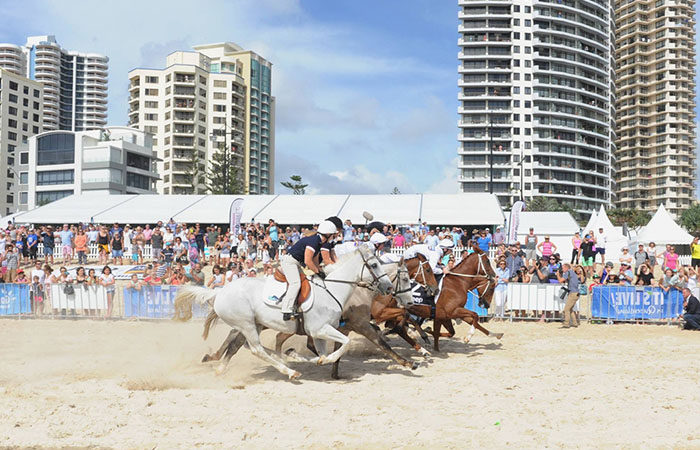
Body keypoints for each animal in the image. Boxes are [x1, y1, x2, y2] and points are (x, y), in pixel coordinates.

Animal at [200, 255, 438, 378]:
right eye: (407, 278)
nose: (433, 290)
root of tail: (220, 292)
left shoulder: (345, 325)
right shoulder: (361, 324)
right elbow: (384, 342)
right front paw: (410, 361)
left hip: (257, 324)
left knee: (242, 342)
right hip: (250, 324)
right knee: (253, 346)